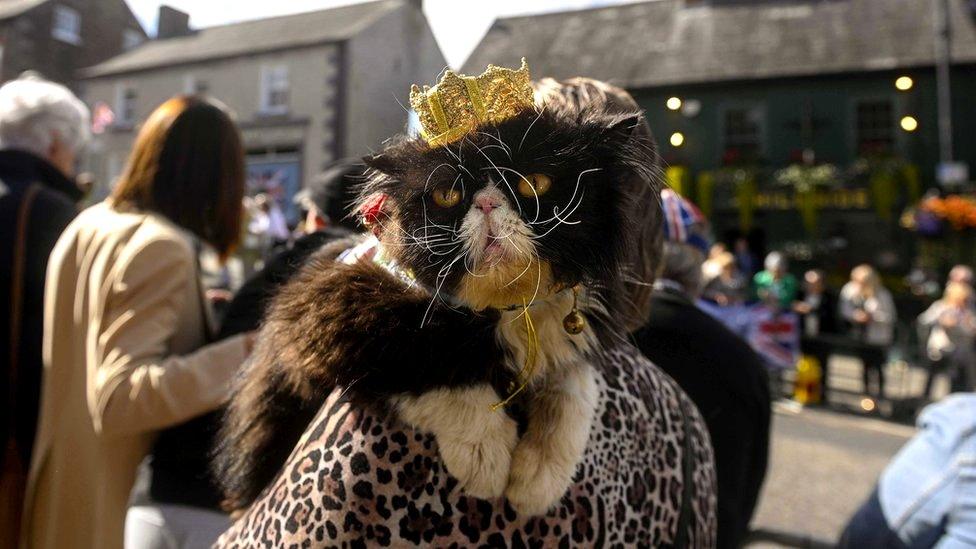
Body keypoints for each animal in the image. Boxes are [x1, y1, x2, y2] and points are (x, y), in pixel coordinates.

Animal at [214, 93, 656, 512]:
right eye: (448, 194)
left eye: (535, 182)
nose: (487, 203)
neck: (510, 306)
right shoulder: (324, 313)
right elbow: (434, 364)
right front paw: (486, 461)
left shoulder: (571, 330)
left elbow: (572, 391)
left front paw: (536, 485)